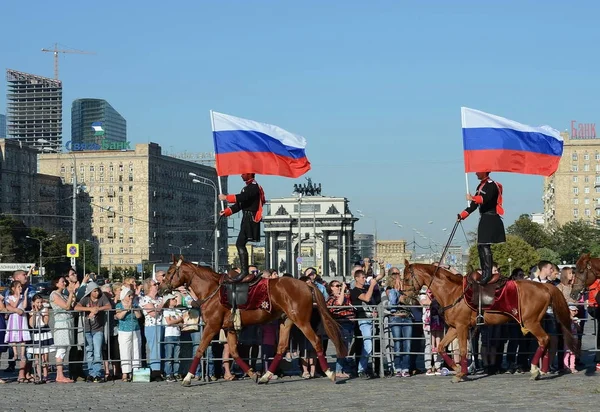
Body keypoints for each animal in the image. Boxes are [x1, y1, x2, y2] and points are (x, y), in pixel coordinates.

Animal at [159, 258, 346, 386]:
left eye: (169, 272)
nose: (161, 288)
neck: (212, 290)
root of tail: (306, 284)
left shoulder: (212, 327)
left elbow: (199, 350)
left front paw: (187, 378)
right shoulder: (229, 328)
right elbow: (234, 352)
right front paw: (252, 373)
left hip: (301, 321)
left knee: (315, 341)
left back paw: (330, 373)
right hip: (286, 321)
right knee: (282, 347)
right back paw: (265, 376)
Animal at [400, 260, 576, 384]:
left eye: (407, 278)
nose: (402, 298)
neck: (452, 292)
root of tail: (545, 287)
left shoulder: (462, 327)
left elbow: (462, 350)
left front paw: (461, 373)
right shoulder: (453, 328)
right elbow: (441, 347)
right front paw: (457, 368)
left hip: (531, 322)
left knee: (544, 339)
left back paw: (535, 370)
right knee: (546, 340)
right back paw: (542, 370)